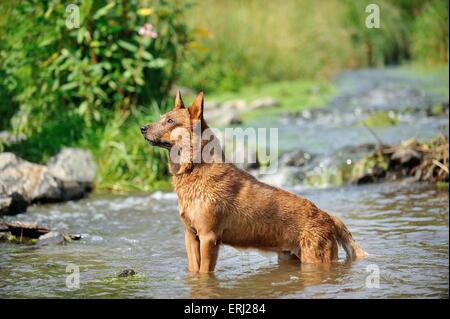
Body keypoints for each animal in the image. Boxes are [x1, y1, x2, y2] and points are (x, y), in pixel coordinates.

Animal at [142, 91, 370, 274]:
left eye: (170, 121)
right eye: (161, 118)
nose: (142, 128)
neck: (194, 169)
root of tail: (329, 218)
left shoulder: (209, 238)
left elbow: (205, 272)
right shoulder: (190, 236)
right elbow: (193, 270)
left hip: (315, 258)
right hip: (289, 257)